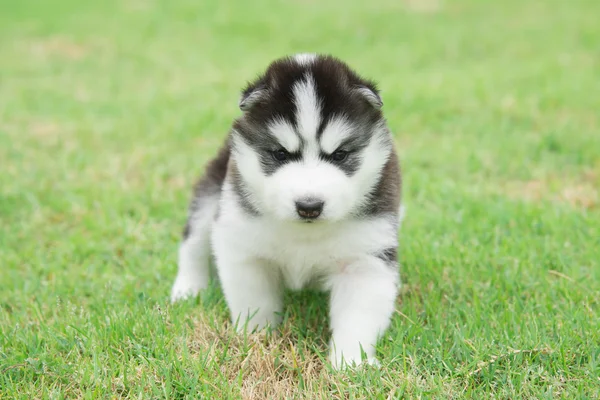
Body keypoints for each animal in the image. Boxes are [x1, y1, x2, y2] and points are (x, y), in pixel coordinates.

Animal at [170, 53, 404, 368]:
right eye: (280, 153)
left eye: (340, 155)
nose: (309, 207)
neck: (305, 233)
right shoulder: (243, 244)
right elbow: (255, 303)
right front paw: (256, 342)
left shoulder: (366, 258)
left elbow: (358, 317)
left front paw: (350, 363)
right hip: (211, 197)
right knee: (193, 243)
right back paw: (188, 288)